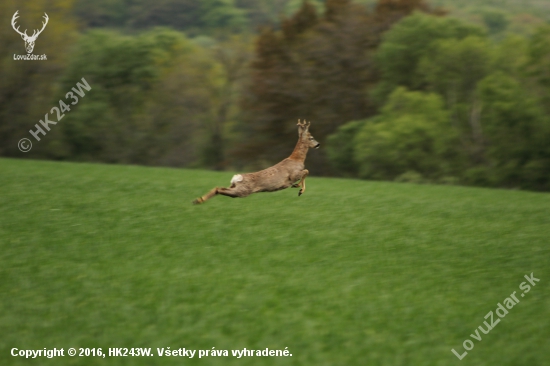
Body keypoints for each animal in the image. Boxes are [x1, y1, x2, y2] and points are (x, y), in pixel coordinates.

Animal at [194, 121, 324, 204]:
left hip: (235, 187)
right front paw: (299, 189)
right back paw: (199, 200)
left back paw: (198, 200)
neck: (297, 159)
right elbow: (306, 171)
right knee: (218, 189)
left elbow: (306, 171)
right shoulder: (293, 175)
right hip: (243, 191)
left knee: (220, 189)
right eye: (311, 137)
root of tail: (236, 177)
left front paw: (298, 188)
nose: (318, 144)